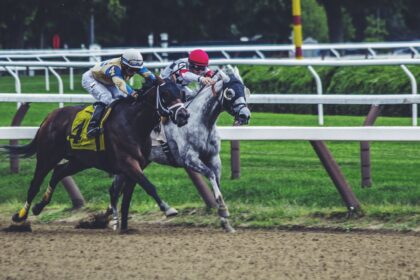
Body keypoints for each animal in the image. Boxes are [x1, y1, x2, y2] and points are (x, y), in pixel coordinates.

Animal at [1, 77, 189, 231]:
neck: (134, 123)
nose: (183, 115)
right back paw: (20, 216)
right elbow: (148, 186)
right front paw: (168, 209)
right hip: (47, 156)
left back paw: (39, 207)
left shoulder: (137, 165)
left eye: (181, 93)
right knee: (35, 185)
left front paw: (124, 227)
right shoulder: (128, 162)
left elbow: (127, 196)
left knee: (58, 173)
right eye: (165, 94)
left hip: (80, 160)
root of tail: (50, 116)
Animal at [107, 67, 249, 232]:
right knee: (114, 190)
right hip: (127, 160)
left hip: (138, 163)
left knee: (118, 189)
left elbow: (217, 181)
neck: (200, 122)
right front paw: (223, 211)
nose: (245, 115)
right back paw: (114, 221)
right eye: (230, 92)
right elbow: (210, 174)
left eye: (244, 90)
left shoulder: (213, 157)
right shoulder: (190, 159)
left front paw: (225, 221)